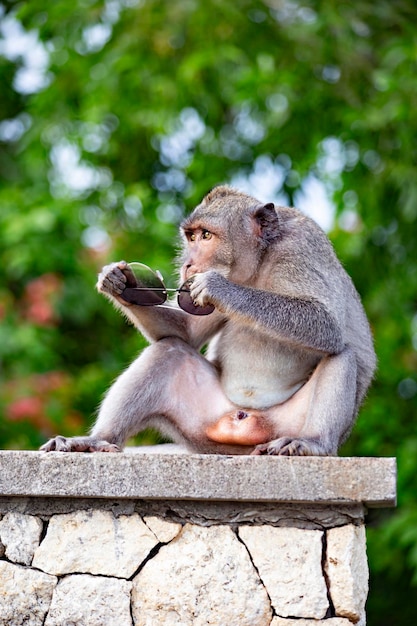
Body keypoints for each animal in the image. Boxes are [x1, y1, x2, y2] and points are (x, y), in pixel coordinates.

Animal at [40, 184, 376, 454]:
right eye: (190, 237)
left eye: (206, 235)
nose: (188, 263)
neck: (260, 261)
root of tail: (242, 427)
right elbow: (186, 333)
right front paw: (118, 282)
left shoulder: (301, 247)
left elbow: (326, 325)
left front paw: (218, 287)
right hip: (202, 424)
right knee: (169, 350)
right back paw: (97, 440)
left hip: (284, 425)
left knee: (341, 354)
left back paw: (312, 442)